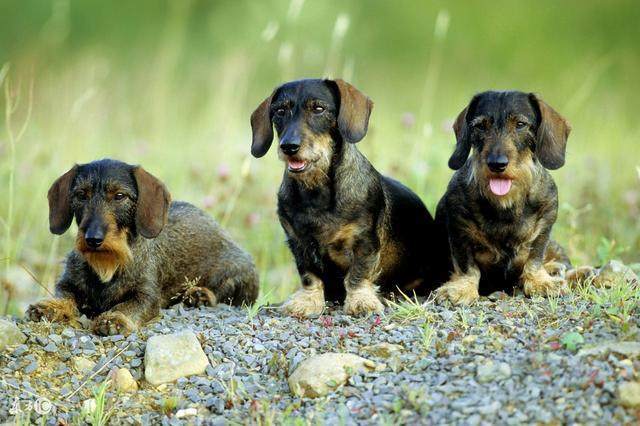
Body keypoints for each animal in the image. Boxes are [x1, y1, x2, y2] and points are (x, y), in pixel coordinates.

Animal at [27, 158, 258, 334]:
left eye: (119, 196)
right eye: (81, 195)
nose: (93, 239)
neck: (108, 265)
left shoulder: (147, 296)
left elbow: (130, 305)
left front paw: (115, 318)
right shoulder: (67, 283)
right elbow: (64, 295)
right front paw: (50, 306)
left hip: (235, 272)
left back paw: (199, 294)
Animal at [250, 78, 444, 316]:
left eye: (318, 109)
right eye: (280, 111)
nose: (289, 146)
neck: (316, 192)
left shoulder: (364, 242)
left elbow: (357, 275)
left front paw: (361, 301)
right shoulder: (298, 242)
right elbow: (309, 276)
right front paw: (307, 301)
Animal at [438, 90, 572, 302]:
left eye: (520, 124)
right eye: (480, 126)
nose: (497, 164)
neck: (505, 204)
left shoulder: (544, 227)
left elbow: (534, 258)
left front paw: (539, 281)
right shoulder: (459, 230)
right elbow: (467, 266)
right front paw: (461, 288)